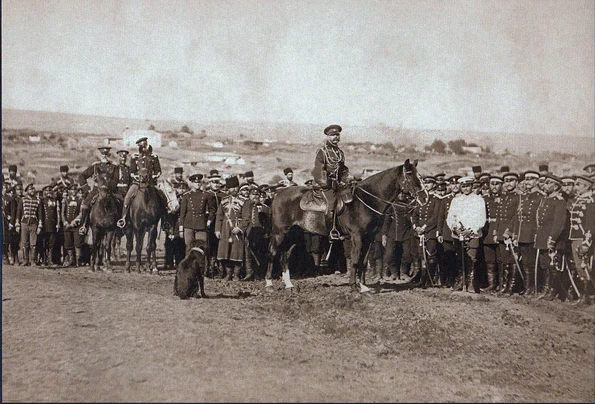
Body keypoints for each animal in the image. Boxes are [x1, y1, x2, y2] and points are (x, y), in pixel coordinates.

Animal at [266, 159, 428, 292]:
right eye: (411, 176)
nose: (425, 197)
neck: (367, 199)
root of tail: (278, 194)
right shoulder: (357, 236)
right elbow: (355, 260)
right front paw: (353, 287)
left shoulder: (369, 237)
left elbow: (363, 261)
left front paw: (362, 286)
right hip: (280, 232)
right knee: (273, 252)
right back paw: (269, 284)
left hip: (294, 234)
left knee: (285, 255)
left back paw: (289, 284)